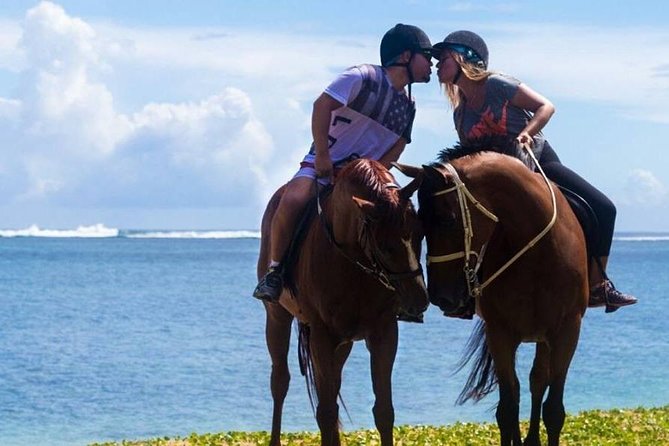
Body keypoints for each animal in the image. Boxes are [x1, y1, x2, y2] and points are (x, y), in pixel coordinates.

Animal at [258, 159, 428, 446]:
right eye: (385, 246)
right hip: (278, 317)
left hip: (343, 342)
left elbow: (383, 410)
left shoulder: (384, 333)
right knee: (280, 382)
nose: (419, 300)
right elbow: (326, 411)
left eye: (420, 236)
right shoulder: (322, 335)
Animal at [408, 151, 584, 446]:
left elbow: (553, 410)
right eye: (419, 223)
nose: (440, 296)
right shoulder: (500, 334)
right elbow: (507, 408)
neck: (536, 253)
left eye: (448, 220)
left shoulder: (566, 332)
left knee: (538, 381)